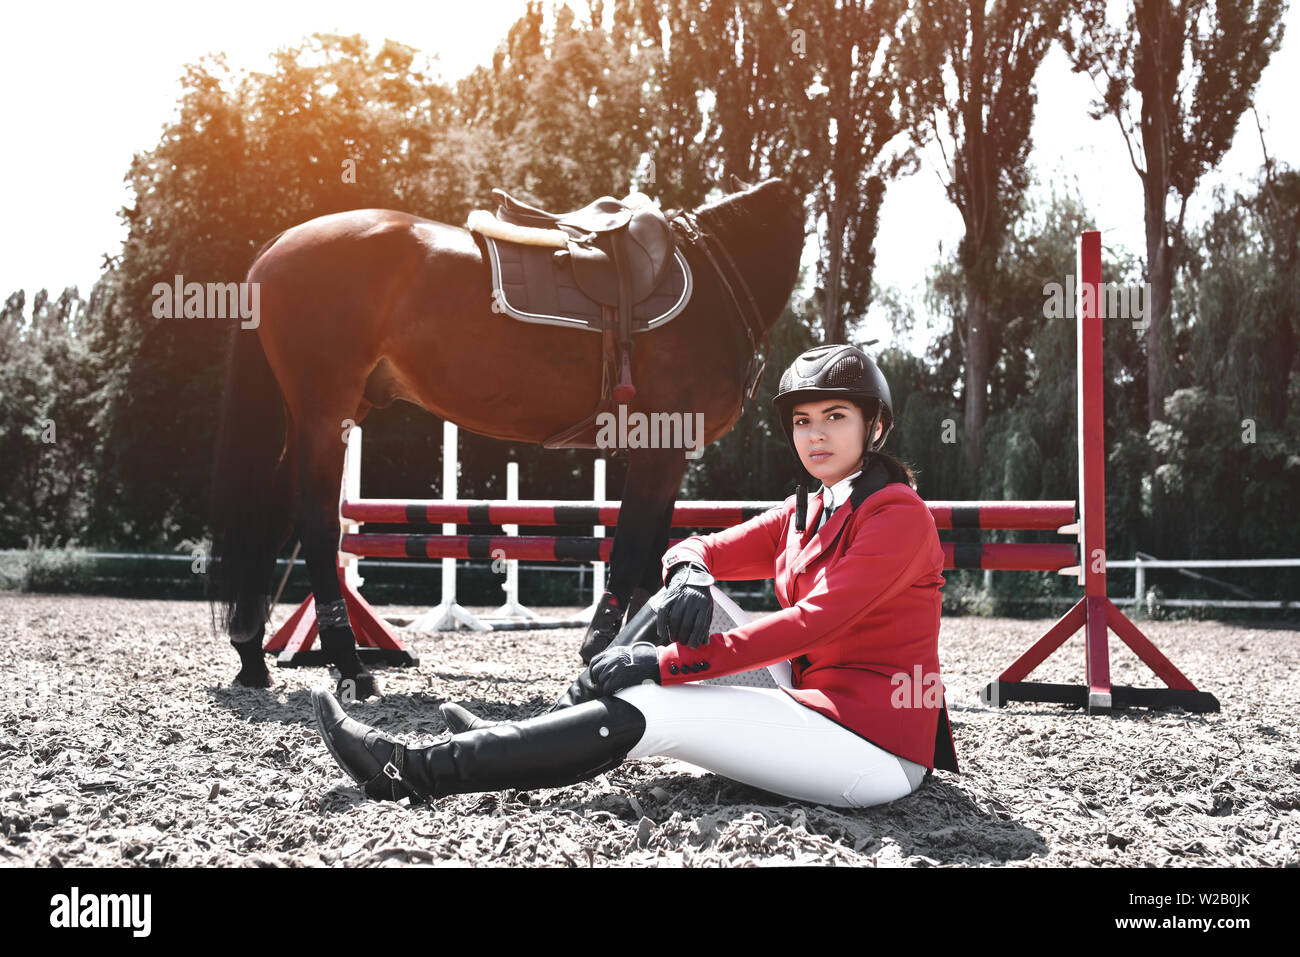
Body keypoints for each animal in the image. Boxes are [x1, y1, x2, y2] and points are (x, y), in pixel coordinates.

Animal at [209, 174, 806, 696]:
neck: (719, 274)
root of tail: (277, 246)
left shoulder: (666, 450)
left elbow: (656, 557)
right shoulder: (662, 448)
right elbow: (633, 549)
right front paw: (600, 650)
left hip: (324, 413)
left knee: (273, 510)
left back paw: (251, 655)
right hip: (325, 410)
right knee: (315, 520)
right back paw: (349, 666)